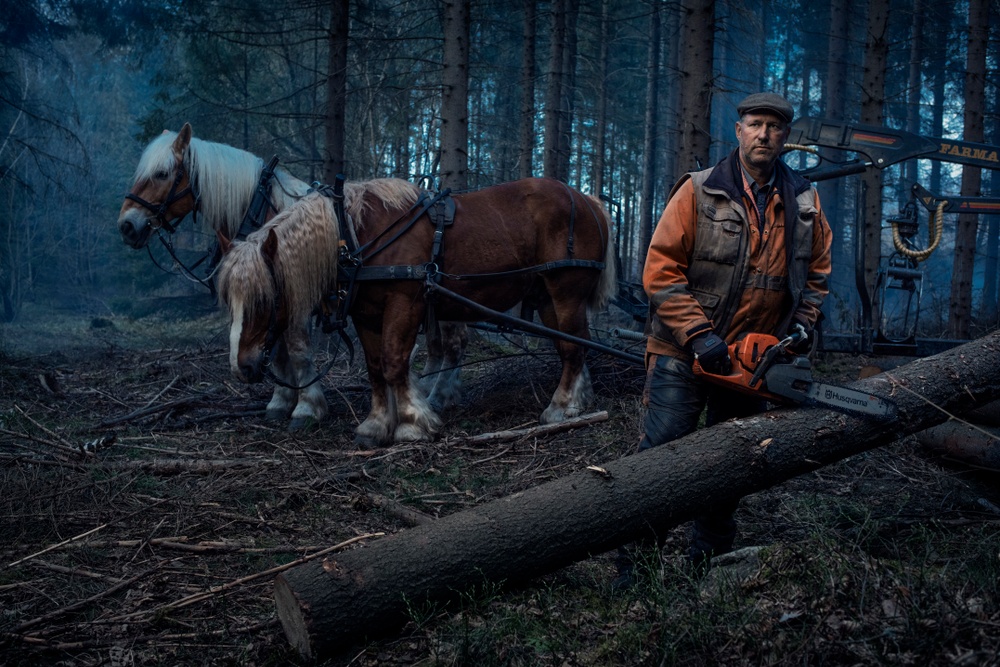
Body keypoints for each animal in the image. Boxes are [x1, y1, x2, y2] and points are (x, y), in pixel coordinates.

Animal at [115, 124, 466, 428]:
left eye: (162, 174)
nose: (127, 226)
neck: (263, 210)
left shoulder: (295, 294)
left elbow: (296, 349)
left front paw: (307, 407)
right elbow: (277, 352)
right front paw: (281, 401)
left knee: (453, 343)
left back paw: (439, 395)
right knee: (438, 344)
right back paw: (431, 389)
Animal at [219, 179, 616, 448]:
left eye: (262, 301)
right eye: (228, 300)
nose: (242, 367)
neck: (356, 236)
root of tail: (589, 201)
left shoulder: (404, 301)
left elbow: (394, 363)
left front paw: (412, 422)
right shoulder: (366, 314)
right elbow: (376, 368)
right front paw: (377, 424)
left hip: (565, 291)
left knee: (573, 348)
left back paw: (561, 407)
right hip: (548, 298)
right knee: (573, 345)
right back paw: (580, 400)